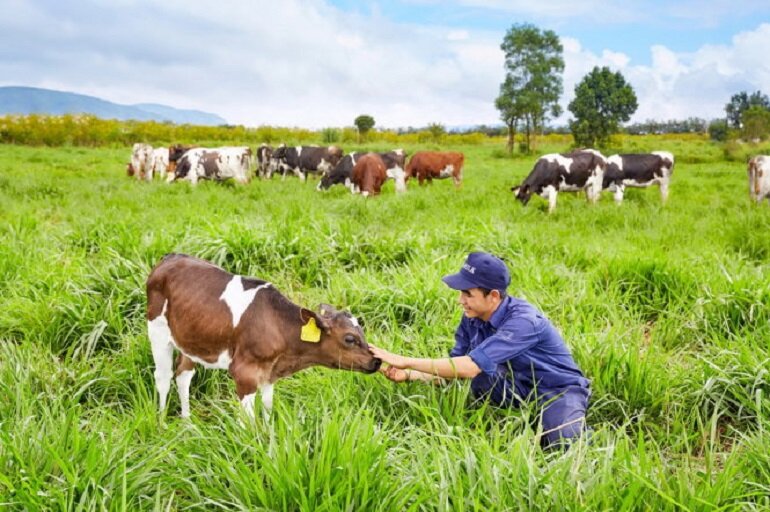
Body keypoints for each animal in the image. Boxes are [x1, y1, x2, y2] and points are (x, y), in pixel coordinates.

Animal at [145, 254, 380, 418]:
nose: (376, 361)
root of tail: (171, 257)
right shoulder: (244, 373)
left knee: (183, 375)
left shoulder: (269, 373)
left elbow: (268, 408)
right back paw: (162, 422)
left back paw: (187, 422)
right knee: (163, 377)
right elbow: (248, 421)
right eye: (350, 339)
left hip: (191, 337)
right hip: (157, 331)